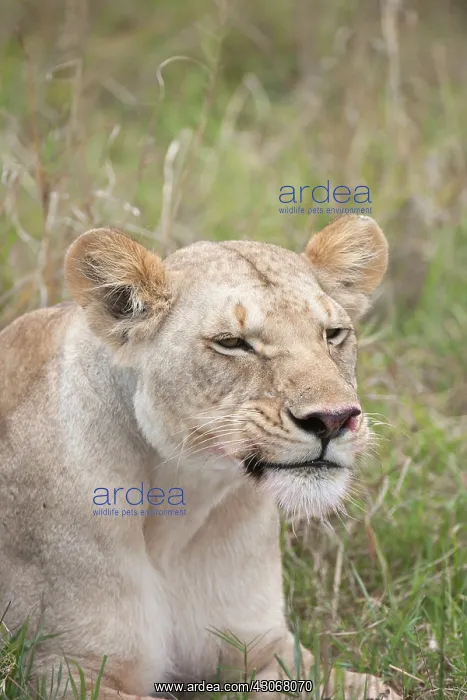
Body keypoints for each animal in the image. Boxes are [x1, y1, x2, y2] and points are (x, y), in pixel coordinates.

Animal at [0, 215, 401, 699]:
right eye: (232, 343)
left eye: (333, 334)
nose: (333, 419)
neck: (185, 504)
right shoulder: (65, 667)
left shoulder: (264, 648)